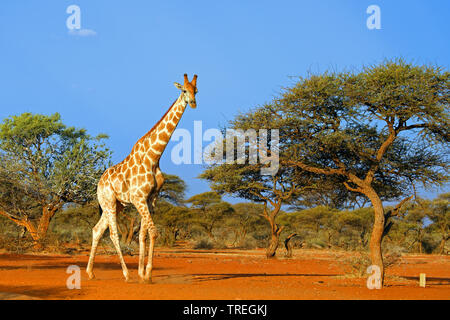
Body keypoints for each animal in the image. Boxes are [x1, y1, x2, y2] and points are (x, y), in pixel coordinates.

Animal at [86, 74, 199, 282]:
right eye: (183, 90)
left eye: (196, 90)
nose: (194, 103)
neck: (154, 157)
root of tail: (99, 183)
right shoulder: (139, 198)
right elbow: (153, 232)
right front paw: (147, 275)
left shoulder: (151, 199)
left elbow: (143, 235)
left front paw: (142, 272)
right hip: (108, 201)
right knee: (113, 234)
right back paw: (125, 273)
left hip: (117, 205)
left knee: (97, 230)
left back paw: (90, 272)